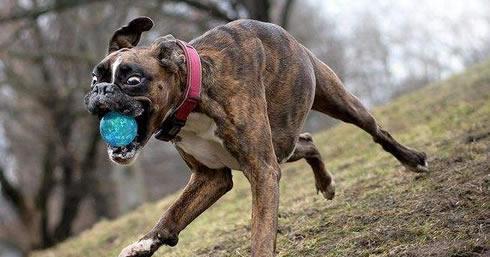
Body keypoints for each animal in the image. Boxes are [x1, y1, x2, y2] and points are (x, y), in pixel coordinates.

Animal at [84, 17, 428, 255]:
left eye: (132, 80)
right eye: (95, 78)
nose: (101, 90)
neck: (195, 96)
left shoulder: (262, 171)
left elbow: (262, 231)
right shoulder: (211, 177)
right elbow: (173, 214)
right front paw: (143, 244)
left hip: (337, 102)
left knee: (376, 130)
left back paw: (413, 160)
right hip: (282, 142)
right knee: (307, 141)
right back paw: (325, 182)